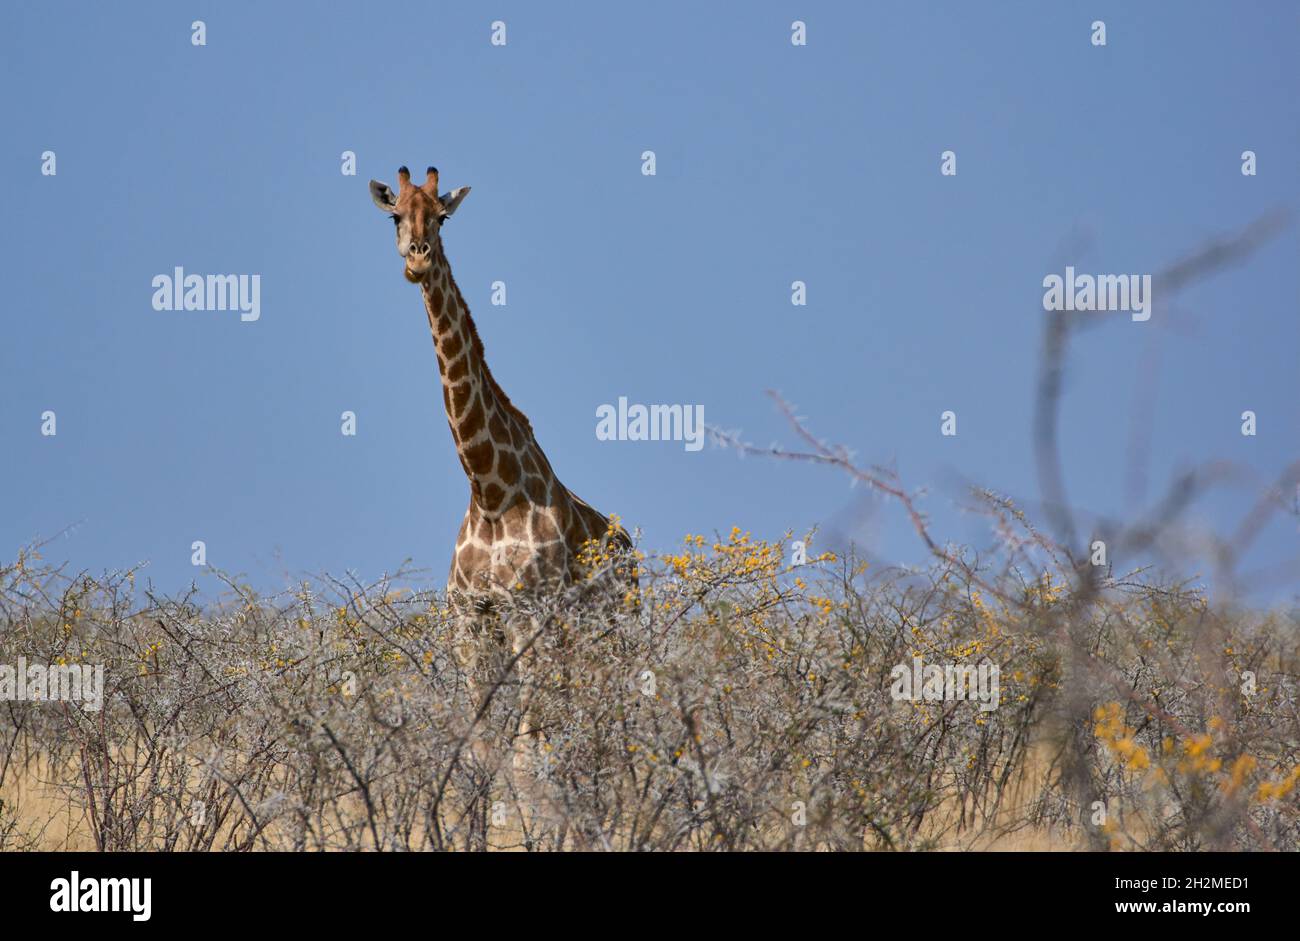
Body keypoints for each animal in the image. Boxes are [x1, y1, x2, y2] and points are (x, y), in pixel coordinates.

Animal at [369, 165, 631, 605]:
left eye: (442, 218)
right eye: (395, 217)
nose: (418, 261)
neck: (489, 492)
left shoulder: (532, 603)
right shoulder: (466, 611)